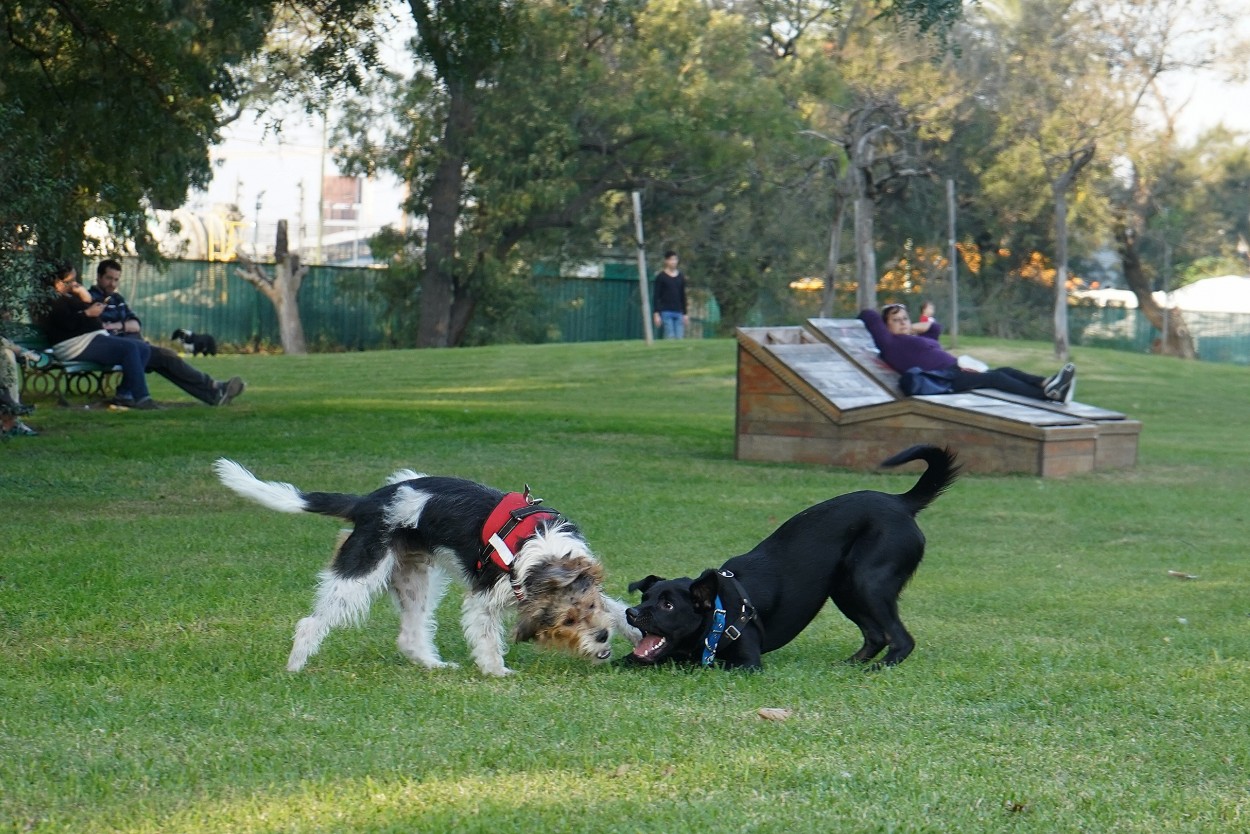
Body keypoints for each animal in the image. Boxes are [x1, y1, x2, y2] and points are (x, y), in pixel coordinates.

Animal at [215, 460, 640, 675]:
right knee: (309, 623)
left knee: (409, 635)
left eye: (588, 608)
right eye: (566, 622)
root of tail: (368, 501)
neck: (540, 552)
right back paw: (295, 666)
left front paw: (633, 631)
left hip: (416, 579)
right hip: (359, 576)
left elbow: (619, 608)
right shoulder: (483, 601)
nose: (601, 638)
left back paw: (433, 665)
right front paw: (497, 672)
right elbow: (487, 641)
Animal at [630, 442, 960, 670]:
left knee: (902, 640)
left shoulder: (747, 663)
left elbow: (696, 664)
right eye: (645, 597)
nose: (631, 612)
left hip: (868, 583)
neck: (720, 611)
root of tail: (902, 502)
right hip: (846, 589)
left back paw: (877, 669)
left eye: (668, 605)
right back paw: (848, 666)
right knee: (876, 635)